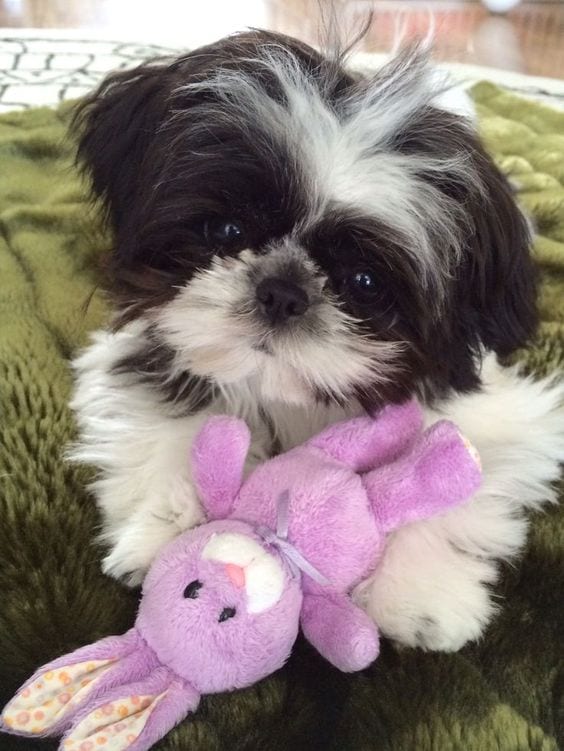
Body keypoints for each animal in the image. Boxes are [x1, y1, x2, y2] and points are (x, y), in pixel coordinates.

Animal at [70, 30, 564, 652]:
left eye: (365, 283)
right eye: (227, 231)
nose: (282, 292)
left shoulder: (504, 412)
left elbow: (456, 469)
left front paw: (421, 594)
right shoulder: (156, 347)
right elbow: (181, 418)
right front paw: (164, 530)